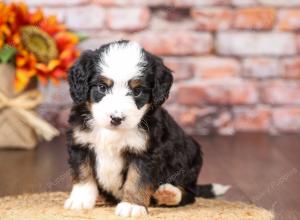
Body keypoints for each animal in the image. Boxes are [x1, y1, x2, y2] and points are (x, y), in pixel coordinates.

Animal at [65, 40, 230, 217]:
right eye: (102, 87)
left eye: (137, 91)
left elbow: (136, 179)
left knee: (189, 194)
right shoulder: (80, 143)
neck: (113, 133)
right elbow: (83, 174)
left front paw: (132, 205)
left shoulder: (145, 152)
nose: (116, 118)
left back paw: (169, 194)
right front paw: (81, 200)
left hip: (191, 159)